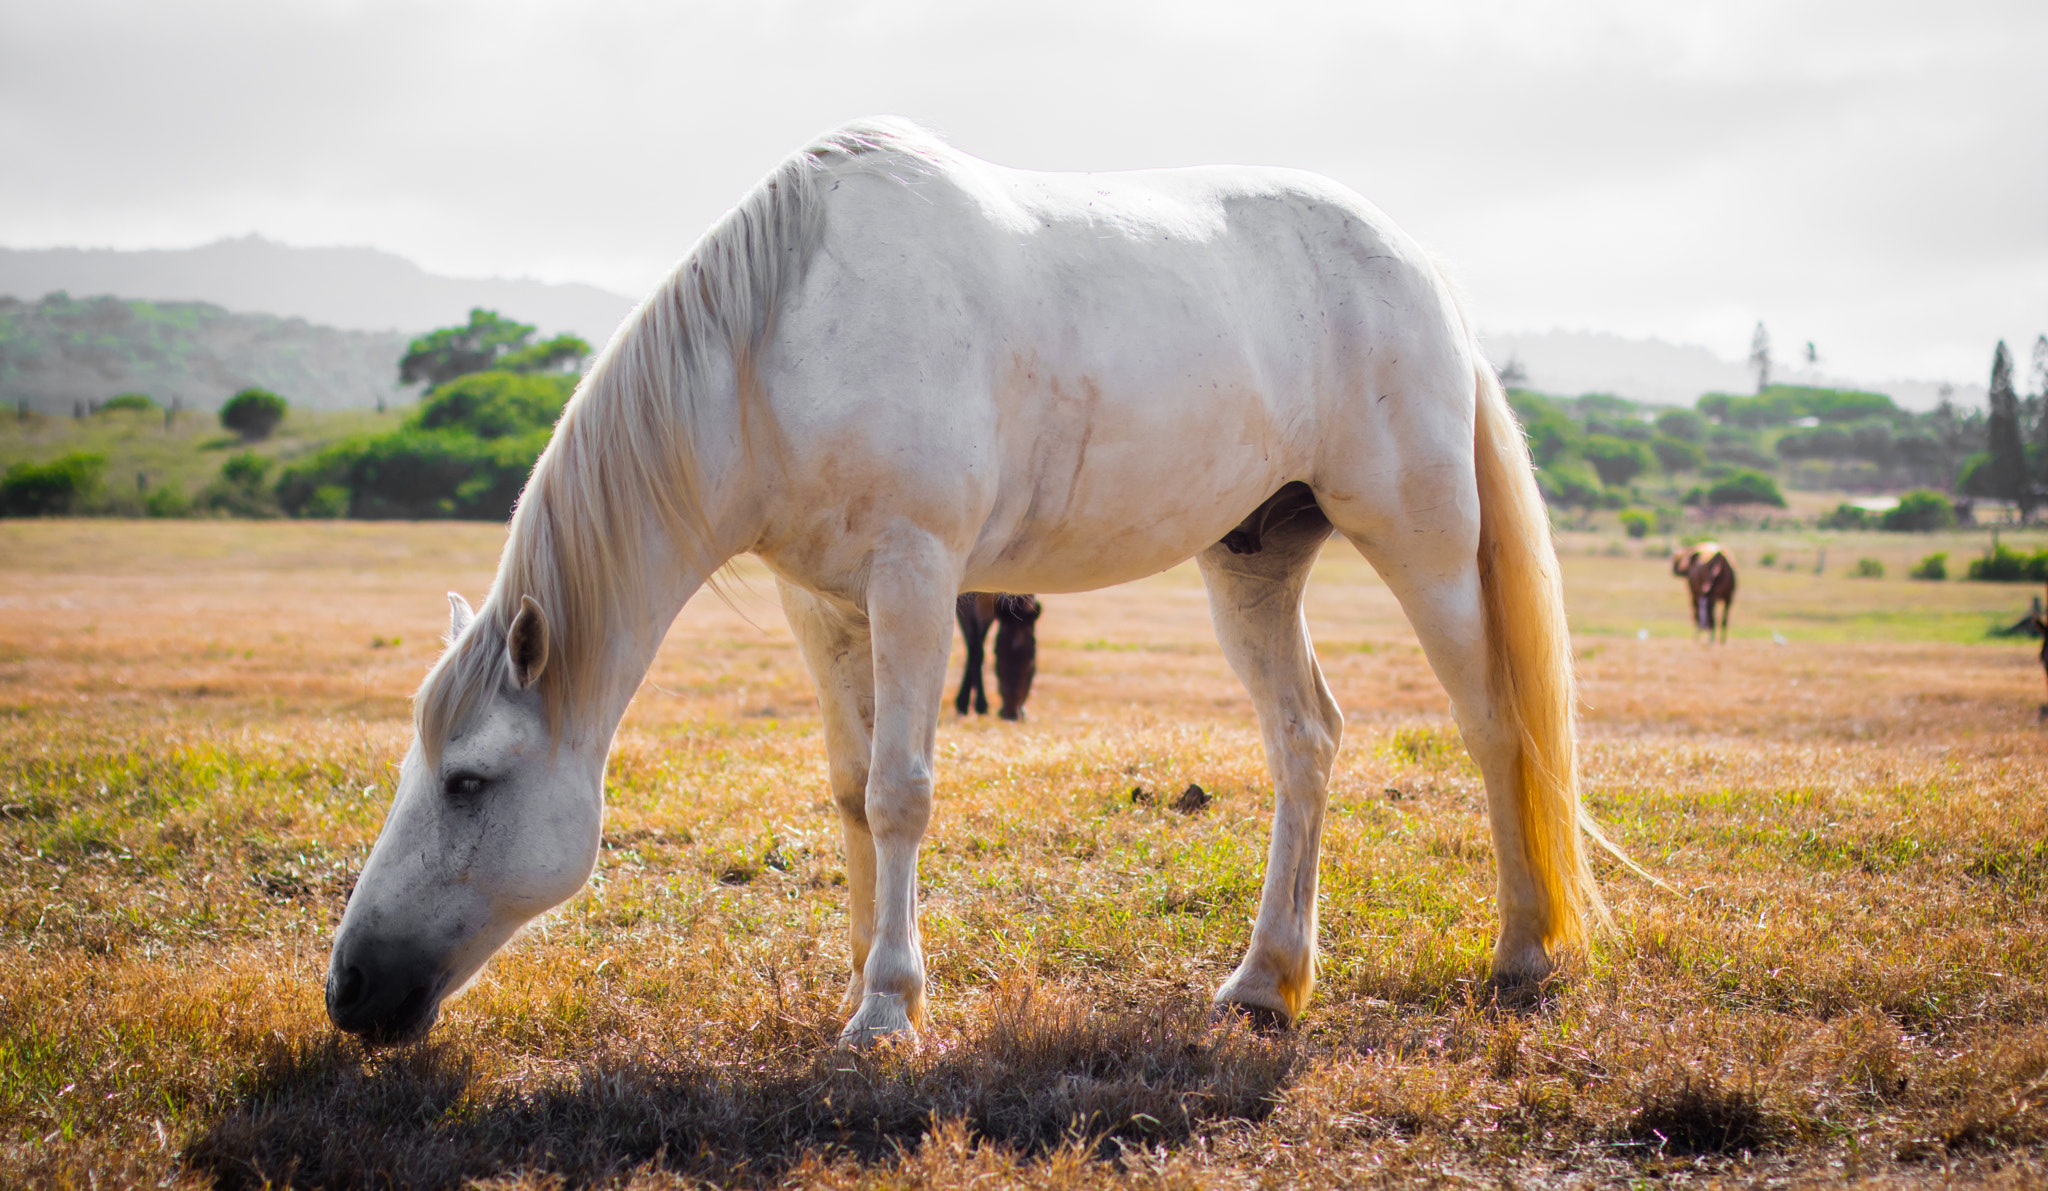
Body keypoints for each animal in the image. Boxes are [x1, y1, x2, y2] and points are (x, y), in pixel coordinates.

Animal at [323, 121, 1613, 1047]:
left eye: (470, 783)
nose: (349, 993)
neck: (777, 338)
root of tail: (1419, 266)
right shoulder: (821, 603)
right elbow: (851, 790)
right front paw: (859, 977)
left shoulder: (914, 576)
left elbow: (901, 791)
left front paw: (887, 1009)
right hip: (1252, 559)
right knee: (1306, 740)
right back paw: (1264, 983)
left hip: (1420, 542)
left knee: (1494, 727)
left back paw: (1518, 951)